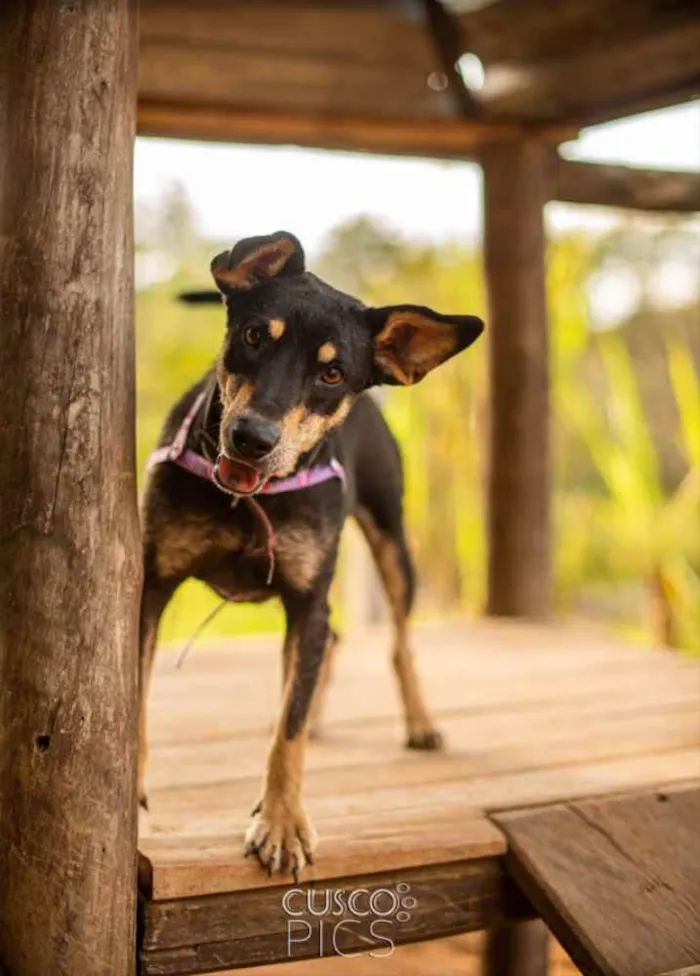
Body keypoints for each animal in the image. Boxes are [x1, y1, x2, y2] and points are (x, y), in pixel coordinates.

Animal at [139, 233, 484, 880]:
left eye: (332, 372)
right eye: (254, 336)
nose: (252, 438)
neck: (251, 499)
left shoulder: (307, 601)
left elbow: (288, 729)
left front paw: (281, 823)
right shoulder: (153, 584)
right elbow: (137, 697)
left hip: (393, 543)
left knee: (399, 644)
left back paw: (420, 723)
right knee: (338, 643)